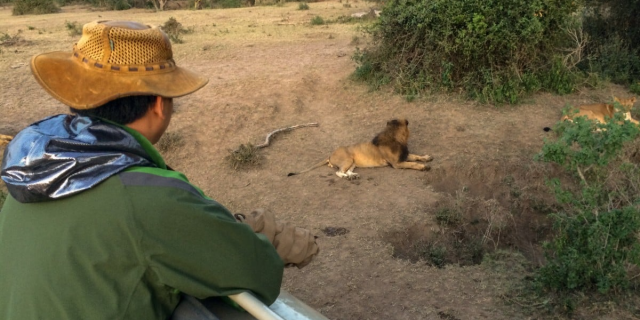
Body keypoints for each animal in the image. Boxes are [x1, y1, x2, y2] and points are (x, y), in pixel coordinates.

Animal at [288, 119, 432, 180]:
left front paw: (427, 157)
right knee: (339, 172)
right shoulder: (396, 163)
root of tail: (330, 155)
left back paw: (354, 176)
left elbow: (416, 156)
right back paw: (349, 178)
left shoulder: (403, 155)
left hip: (353, 162)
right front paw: (424, 167)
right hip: (347, 159)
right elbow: (412, 163)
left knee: (346, 171)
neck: (395, 137)